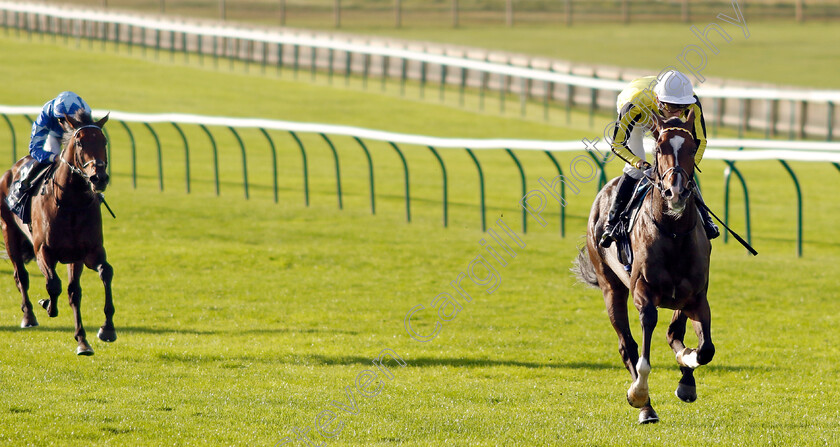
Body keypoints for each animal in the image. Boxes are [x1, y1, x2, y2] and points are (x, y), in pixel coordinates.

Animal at [0, 112, 115, 356]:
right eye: (80, 143)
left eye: (104, 142)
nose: (99, 178)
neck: (71, 203)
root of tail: (12, 170)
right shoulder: (43, 251)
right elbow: (53, 284)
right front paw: (48, 306)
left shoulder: (87, 253)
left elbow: (103, 274)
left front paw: (106, 329)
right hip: (9, 231)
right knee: (20, 275)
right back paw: (29, 316)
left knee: (73, 292)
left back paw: (82, 341)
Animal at [572, 110, 716, 426]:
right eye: (660, 148)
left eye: (692, 147)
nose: (676, 192)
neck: (673, 233)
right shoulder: (643, 293)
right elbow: (645, 347)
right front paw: (639, 394)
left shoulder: (696, 296)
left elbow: (703, 349)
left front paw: (686, 372)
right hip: (611, 287)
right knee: (627, 346)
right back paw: (646, 408)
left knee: (674, 334)